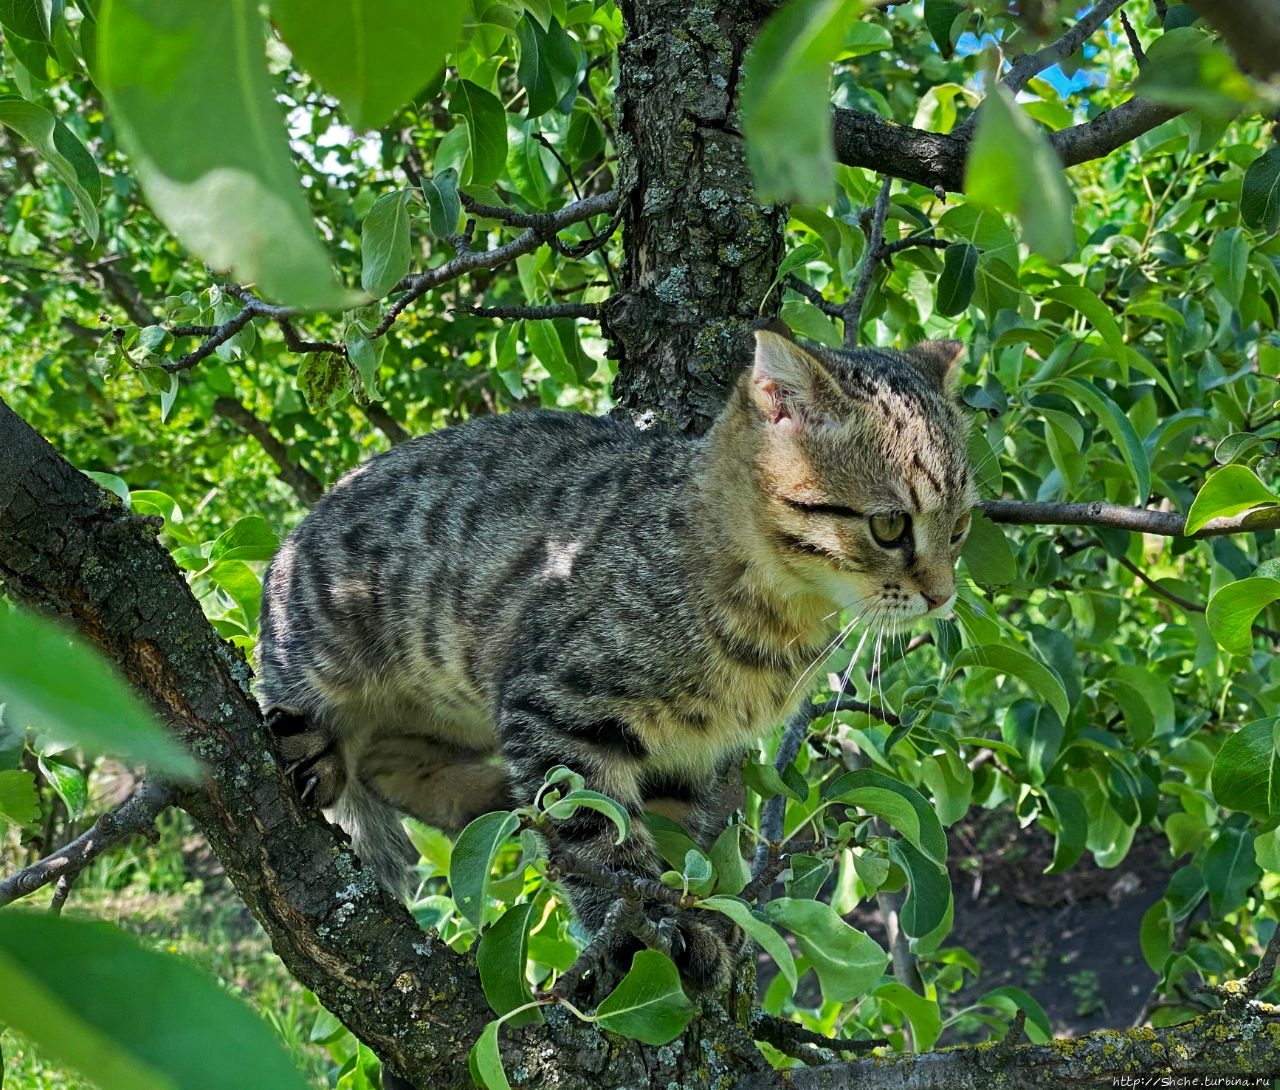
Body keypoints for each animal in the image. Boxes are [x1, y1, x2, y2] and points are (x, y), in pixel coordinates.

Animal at [254, 321, 972, 987]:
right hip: (326, 640)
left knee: (390, 762)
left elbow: (669, 845)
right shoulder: (556, 706)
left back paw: (495, 799)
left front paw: (689, 915)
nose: (943, 596)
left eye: (961, 527)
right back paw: (318, 749)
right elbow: (601, 840)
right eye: (890, 526)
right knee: (313, 714)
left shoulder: (686, 757)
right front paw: (637, 932)